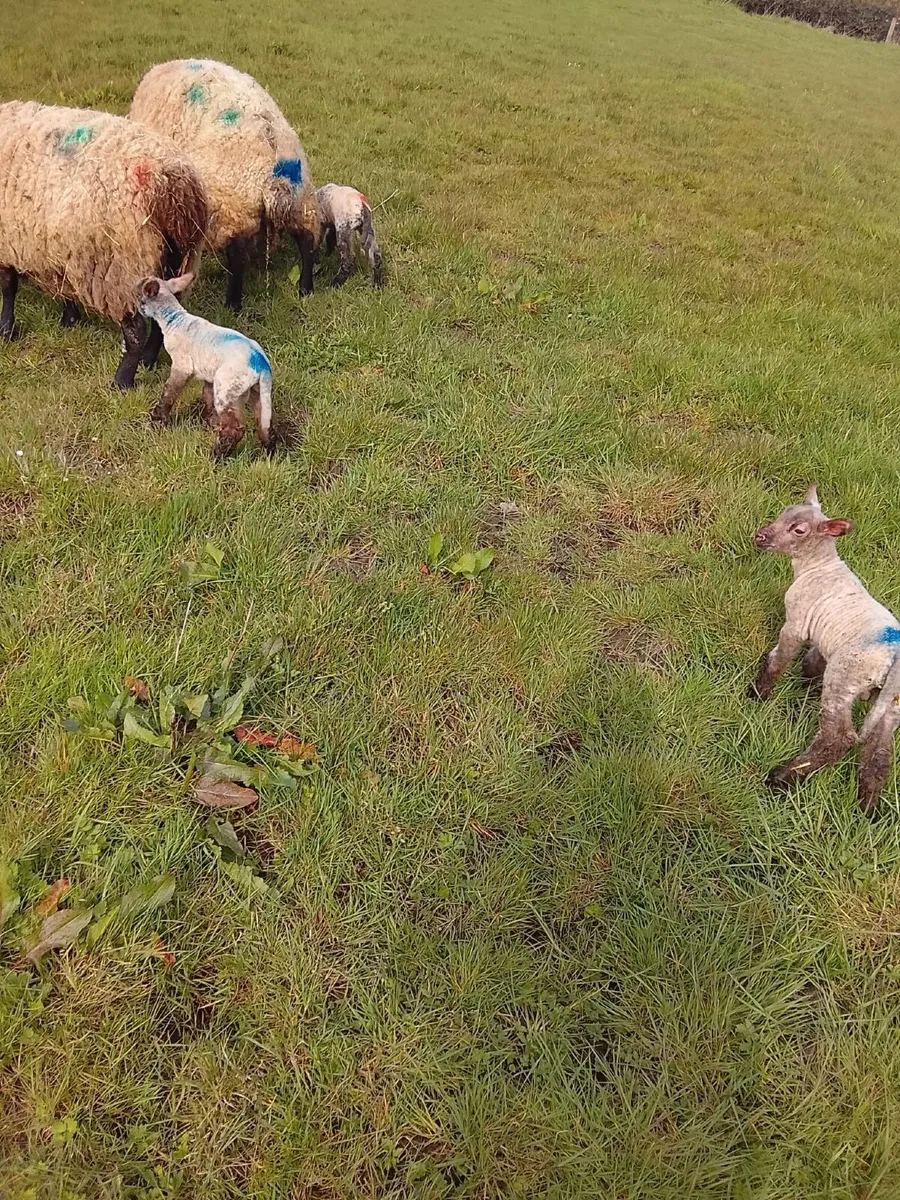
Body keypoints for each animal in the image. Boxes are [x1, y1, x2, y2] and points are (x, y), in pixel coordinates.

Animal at [0, 101, 208, 389]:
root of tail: (172, 184)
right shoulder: (60, 247)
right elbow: (63, 286)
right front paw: (69, 318)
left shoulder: (7, 242)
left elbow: (8, 288)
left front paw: (5, 330)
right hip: (175, 258)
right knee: (163, 316)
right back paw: (148, 361)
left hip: (121, 268)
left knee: (135, 331)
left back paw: (122, 382)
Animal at [130, 59, 320, 312]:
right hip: (300, 201)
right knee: (307, 241)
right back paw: (305, 289)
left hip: (231, 208)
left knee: (236, 257)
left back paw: (233, 304)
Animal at [137, 273, 273, 460]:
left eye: (139, 297)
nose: (136, 310)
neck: (174, 318)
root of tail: (261, 362)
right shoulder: (209, 376)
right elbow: (207, 397)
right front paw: (211, 424)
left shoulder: (181, 366)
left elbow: (168, 393)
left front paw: (156, 421)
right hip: (257, 392)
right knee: (264, 423)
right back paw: (269, 453)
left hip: (226, 389)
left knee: (235, 429)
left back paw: (216, 456)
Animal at [749, 484, 900, 814]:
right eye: (783, 513)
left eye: (799, 530)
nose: (760, 536)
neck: (816, 566)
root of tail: (894, 656)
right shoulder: (821, 636)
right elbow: (811, 661)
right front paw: (805, 684)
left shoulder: (797, 622)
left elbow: (778, 659)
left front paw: (758, 695)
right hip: (892, 705)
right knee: (879, 752)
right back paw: (867, 807)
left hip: (844, 677)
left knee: (839, 738)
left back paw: (782, 778)